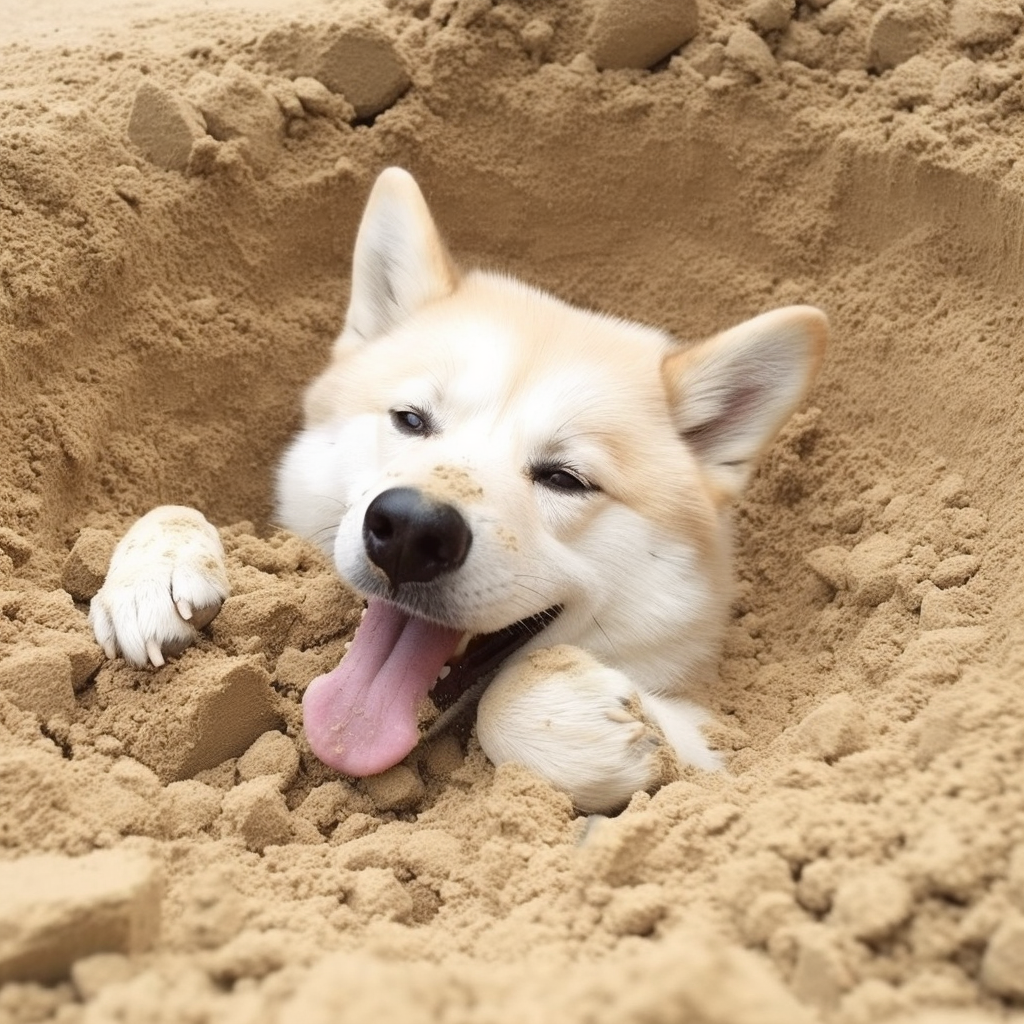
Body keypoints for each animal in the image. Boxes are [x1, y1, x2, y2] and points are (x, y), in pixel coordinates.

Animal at [86, 167, 823, 811]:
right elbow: (173, 509)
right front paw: (154, 574)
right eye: (412, 420)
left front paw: (589, 718)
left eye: (564, 478)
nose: (411, 532)